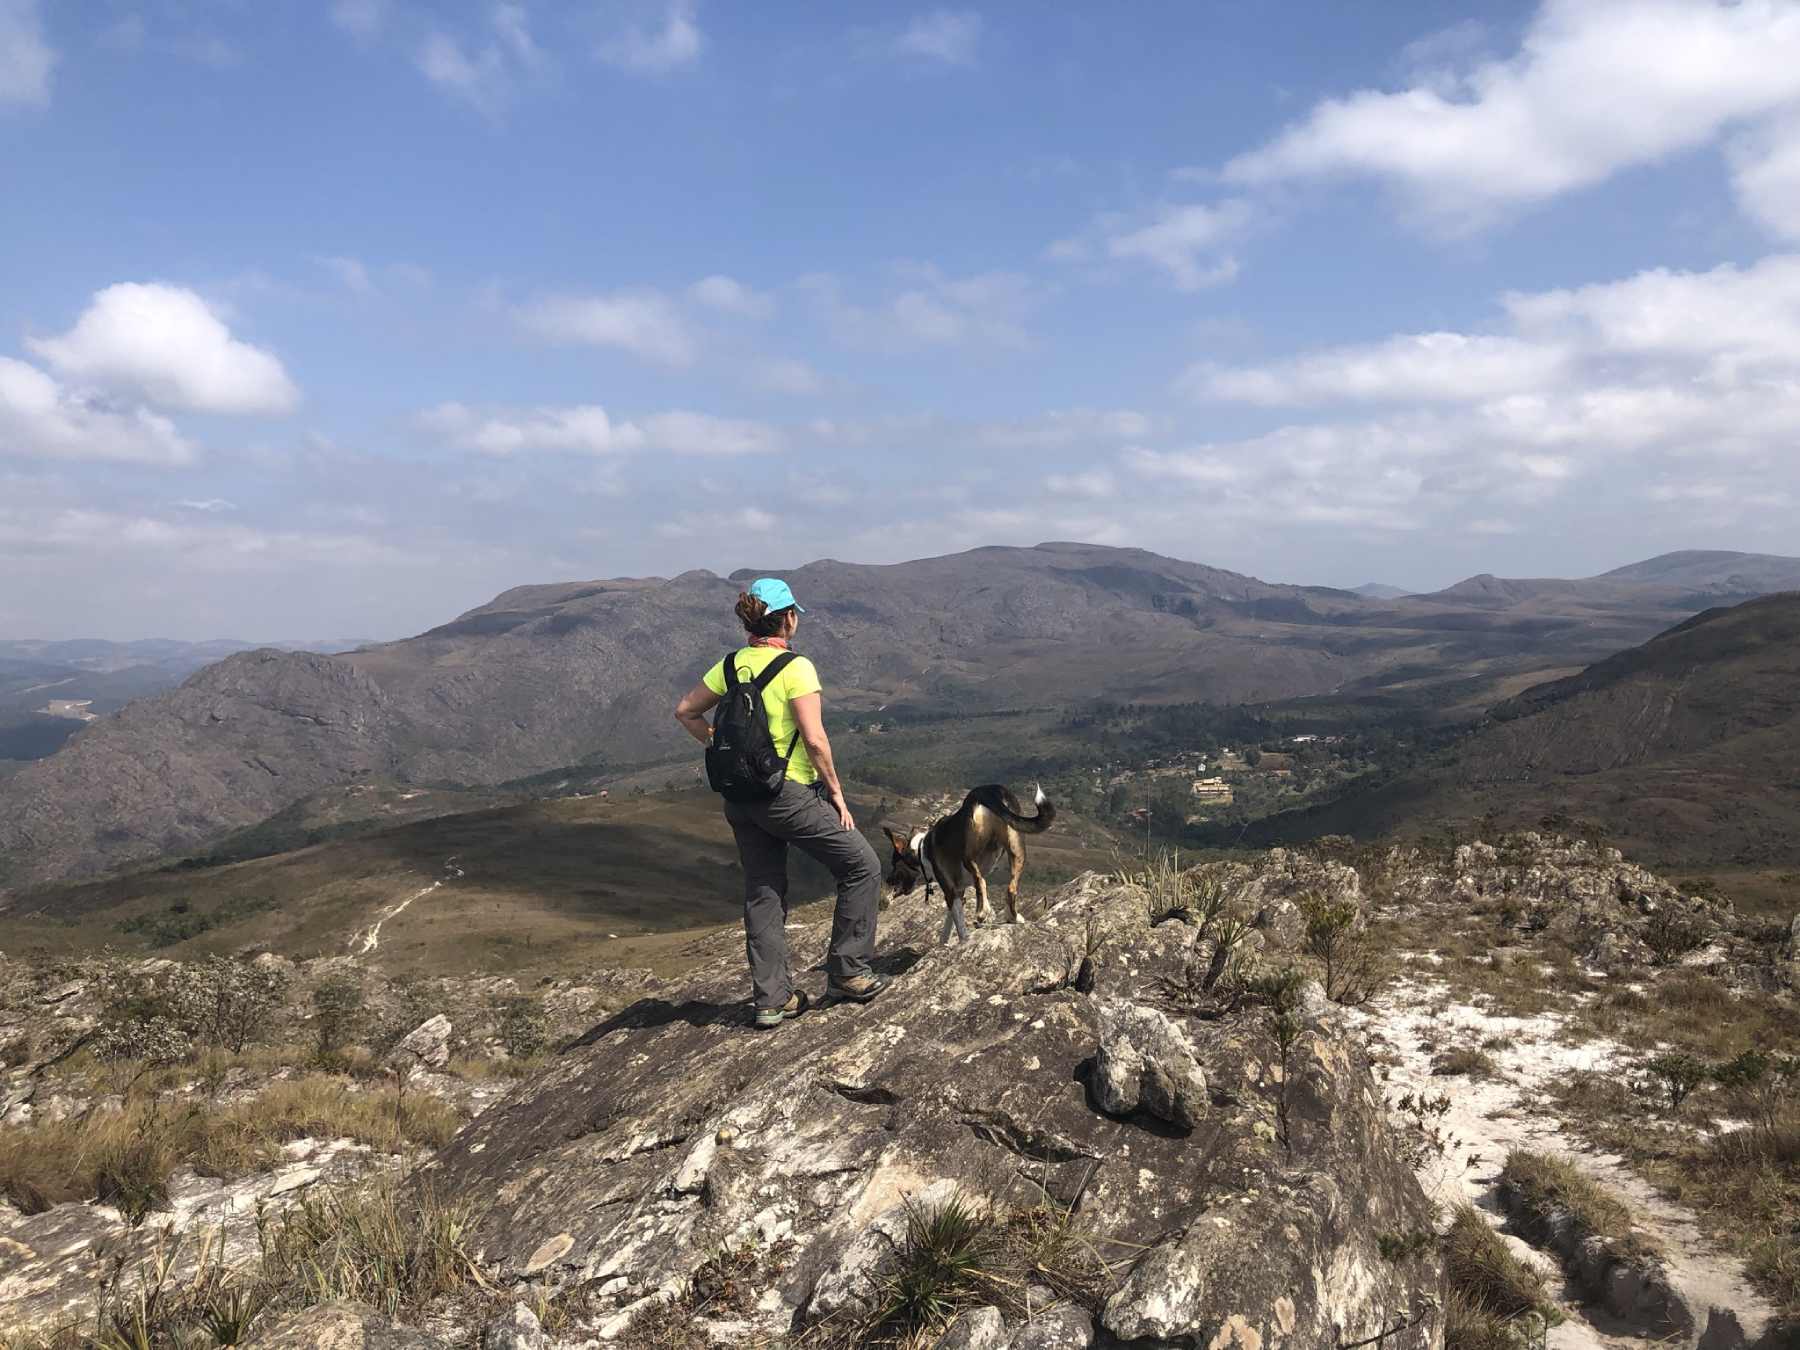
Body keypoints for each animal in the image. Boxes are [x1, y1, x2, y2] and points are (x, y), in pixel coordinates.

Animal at [885, 788, 1051, 943]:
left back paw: (982, 913)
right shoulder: (958, 891)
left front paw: (962, 940)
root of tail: (990, 791)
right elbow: (950, 921)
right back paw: (1013, 918)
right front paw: (945, 943)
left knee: (981, 881)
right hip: (1017, 850)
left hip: (969, 854)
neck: (920, 849)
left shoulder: (950, 890)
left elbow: (958, 923)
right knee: (1010, 888)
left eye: (894, 864)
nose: (887, 880)